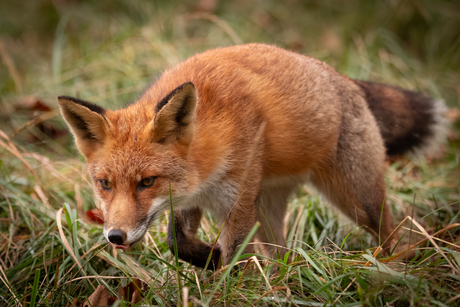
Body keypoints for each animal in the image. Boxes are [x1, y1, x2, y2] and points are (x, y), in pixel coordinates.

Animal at [57, 43, 446, 270]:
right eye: (104, 184)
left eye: (147, 182)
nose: (115, 237)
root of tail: (343, 78)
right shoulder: (193, 196)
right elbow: (177, 242)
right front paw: (207, 257)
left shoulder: (238, 201)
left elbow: (231, 260)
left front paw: (220, 285)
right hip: (269, 211)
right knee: (282, 255)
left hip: (358, 200)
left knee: (393, 232)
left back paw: (394, 266)